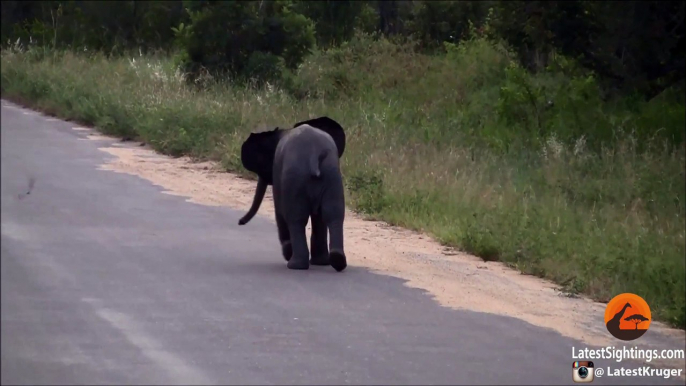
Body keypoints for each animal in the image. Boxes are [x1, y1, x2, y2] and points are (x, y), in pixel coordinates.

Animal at [241, 117, 350, 272]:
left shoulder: (278, 169)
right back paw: (336, 261)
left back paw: (295, 264)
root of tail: (314, 156)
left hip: (296, 178)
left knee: (296, 219)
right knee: (333, 214)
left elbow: (280, 211)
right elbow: (320, 217)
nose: (240, 222)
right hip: (331, 175)